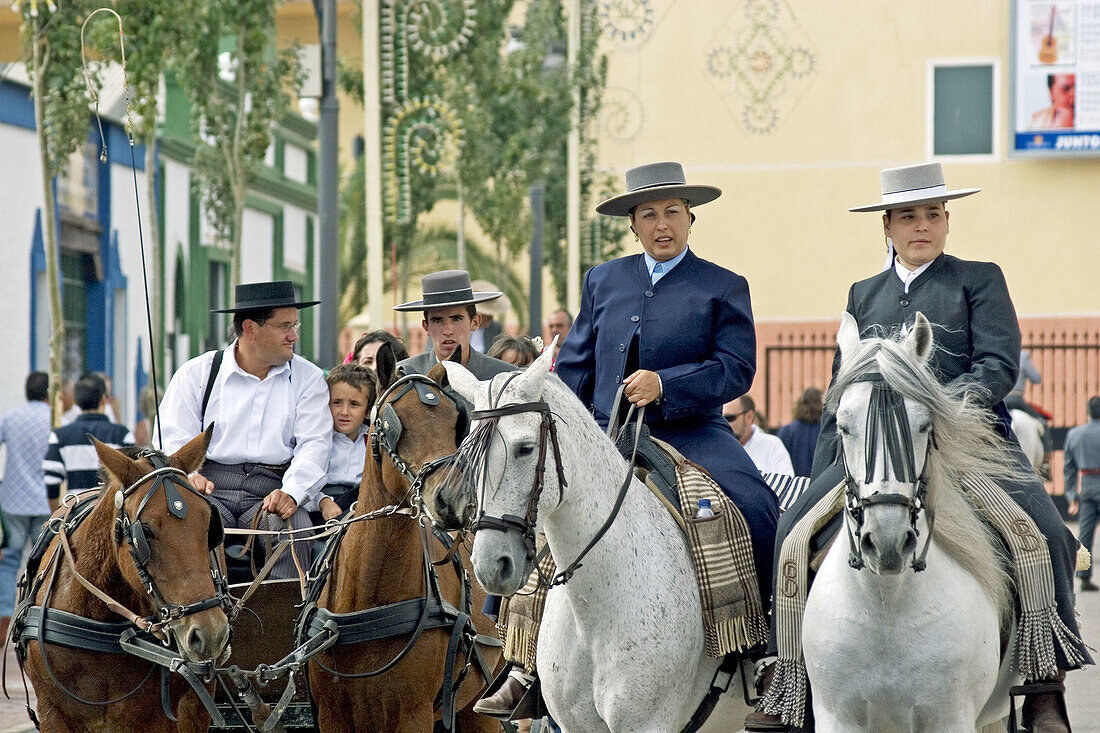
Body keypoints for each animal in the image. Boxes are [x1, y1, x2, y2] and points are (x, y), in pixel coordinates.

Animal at [305, 363, 503, 726]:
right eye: (392, 424)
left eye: (456, 421)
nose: (454, 499)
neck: (367, 602)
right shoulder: (331, 715)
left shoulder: (413, 715)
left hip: (479, 705)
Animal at [442, 352, 726, 726]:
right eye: (467, 454)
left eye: (525, 449)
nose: (491, 566)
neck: (594, 614)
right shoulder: (574, 722)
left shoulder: (648, 722)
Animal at [805, 310, 1016, 730]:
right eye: (843, 425)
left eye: (923, 426)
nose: (887, 543)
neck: (886, 601)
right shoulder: (838, 717)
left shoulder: (951, 718)